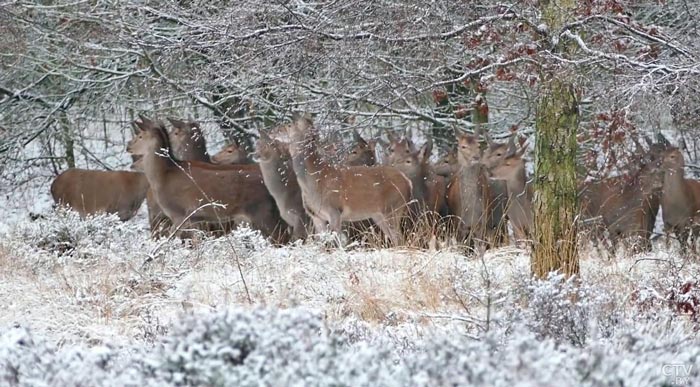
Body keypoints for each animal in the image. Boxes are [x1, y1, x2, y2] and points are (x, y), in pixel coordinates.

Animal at [127, 115, 286, 242]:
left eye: (140, 135)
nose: (128, 147)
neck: (162, 176)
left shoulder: (180, 214)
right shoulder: (194, 219)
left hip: (263, 213)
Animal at [268, 113, 410, 246]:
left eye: (290, 125)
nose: (272, 131)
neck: (315, 180)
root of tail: (407, 181)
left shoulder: (334, 210)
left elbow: (335, 243)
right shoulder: (315, 216)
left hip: (393, 208)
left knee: (399, 238)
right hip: (378, 214)